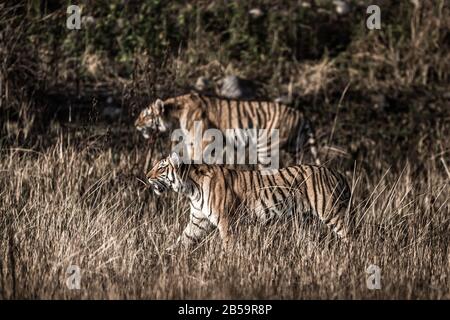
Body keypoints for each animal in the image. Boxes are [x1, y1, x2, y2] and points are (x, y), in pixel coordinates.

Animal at [134, 90, 320, 165]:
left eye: (145, 115)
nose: (135, 124)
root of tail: (301, 114)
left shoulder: (204, 140)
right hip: (295, 146)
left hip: (267, 147)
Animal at [148, 152, 352, 250]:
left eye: (161, 168)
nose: (147, 176)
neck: (190, 188)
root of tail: (338, 173)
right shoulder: (198, 221)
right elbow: (183, 239)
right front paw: (165, 256)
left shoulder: (226, 220)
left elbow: (228, 244)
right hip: (306, 221)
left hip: (332, 212)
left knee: (350, 236)